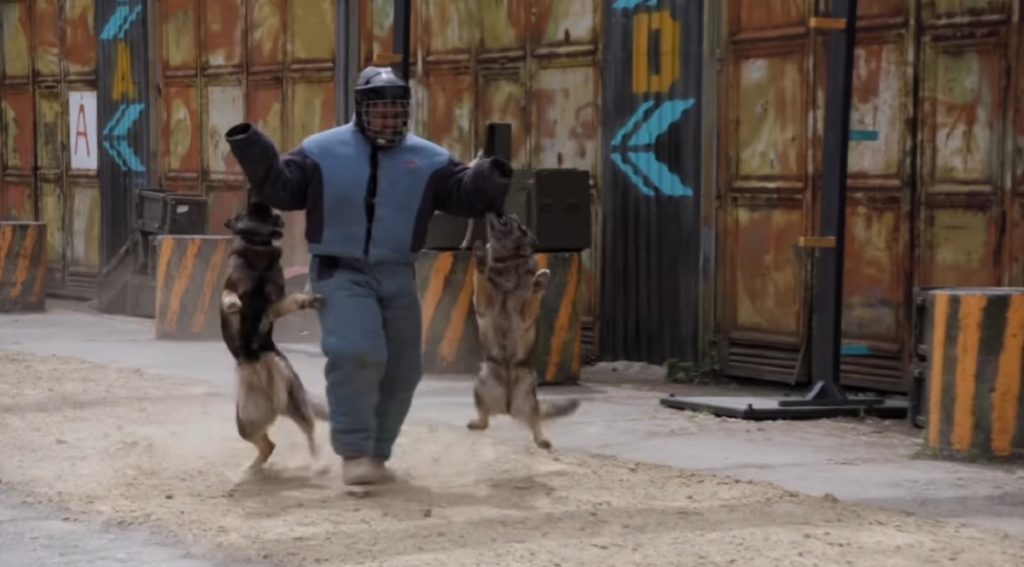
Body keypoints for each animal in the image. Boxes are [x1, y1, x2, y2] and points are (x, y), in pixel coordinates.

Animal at [220, 199, 328, 470]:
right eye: (246, 211)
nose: (257, 198)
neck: (259, 249)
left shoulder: (277, 299)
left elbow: (291, 301)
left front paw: (311, 300)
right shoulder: (231, 287)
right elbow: (229, 296)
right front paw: (234, 305)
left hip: (294, 401)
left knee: (308, 431)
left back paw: (317, 462)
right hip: (246, 422)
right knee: (269, 445)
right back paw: (251, 469)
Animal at [467, 212, 581, 449]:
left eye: (517, 224)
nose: (506, 213)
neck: (508, 263)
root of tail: (507, 407)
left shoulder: (524, 316)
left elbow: (533, 296)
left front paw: (539, 282)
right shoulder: (483, 305)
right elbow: (481, 277)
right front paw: (480, 259)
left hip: (528, 395)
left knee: (536, 420)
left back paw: (542, 439)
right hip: (481, 382)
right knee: (485, 419)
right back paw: (479, 421)